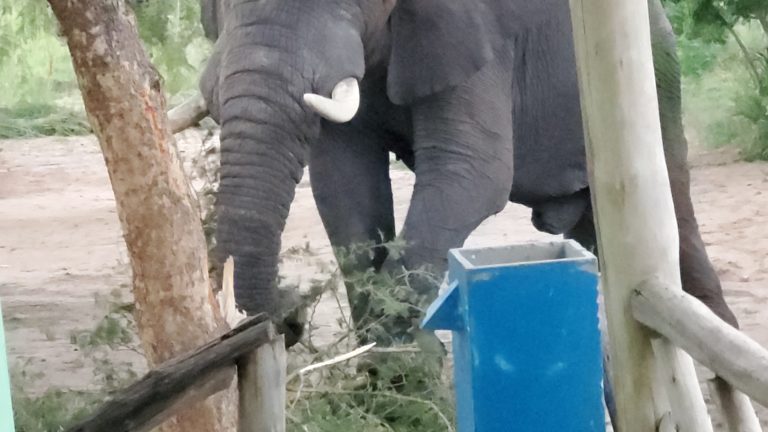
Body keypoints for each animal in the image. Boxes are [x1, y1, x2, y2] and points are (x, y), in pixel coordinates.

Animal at [197, 0, 739, 347]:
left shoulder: (478, 34)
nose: (290, 317)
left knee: (678, 221)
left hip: (657, 80)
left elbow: (470, 176)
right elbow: (344, 185)